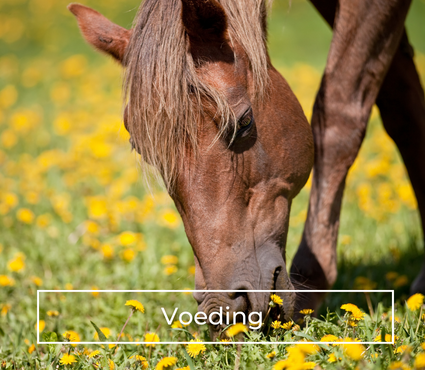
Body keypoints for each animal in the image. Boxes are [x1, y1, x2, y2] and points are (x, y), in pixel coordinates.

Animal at [68, 0, 422, 336]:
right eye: (142, 147)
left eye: (245, 122)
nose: (222, 308)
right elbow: (402, 109)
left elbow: (338, 111)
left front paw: (310, 287)